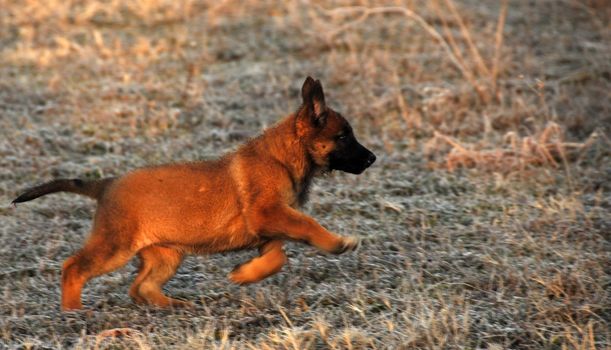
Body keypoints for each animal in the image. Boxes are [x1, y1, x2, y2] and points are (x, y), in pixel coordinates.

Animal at [14, 76, 376, 308]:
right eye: (343, 136)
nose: (373, 159)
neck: (284, 157)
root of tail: (107, 184)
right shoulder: (268, 214)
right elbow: (308, 227)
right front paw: (337, 242)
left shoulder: (267, 228)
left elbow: (277, 258)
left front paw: (244, 274)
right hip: (115, 245)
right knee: (73, 268)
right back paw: (74, 313)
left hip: (166, 254)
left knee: (140, 286)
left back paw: (174, 305)